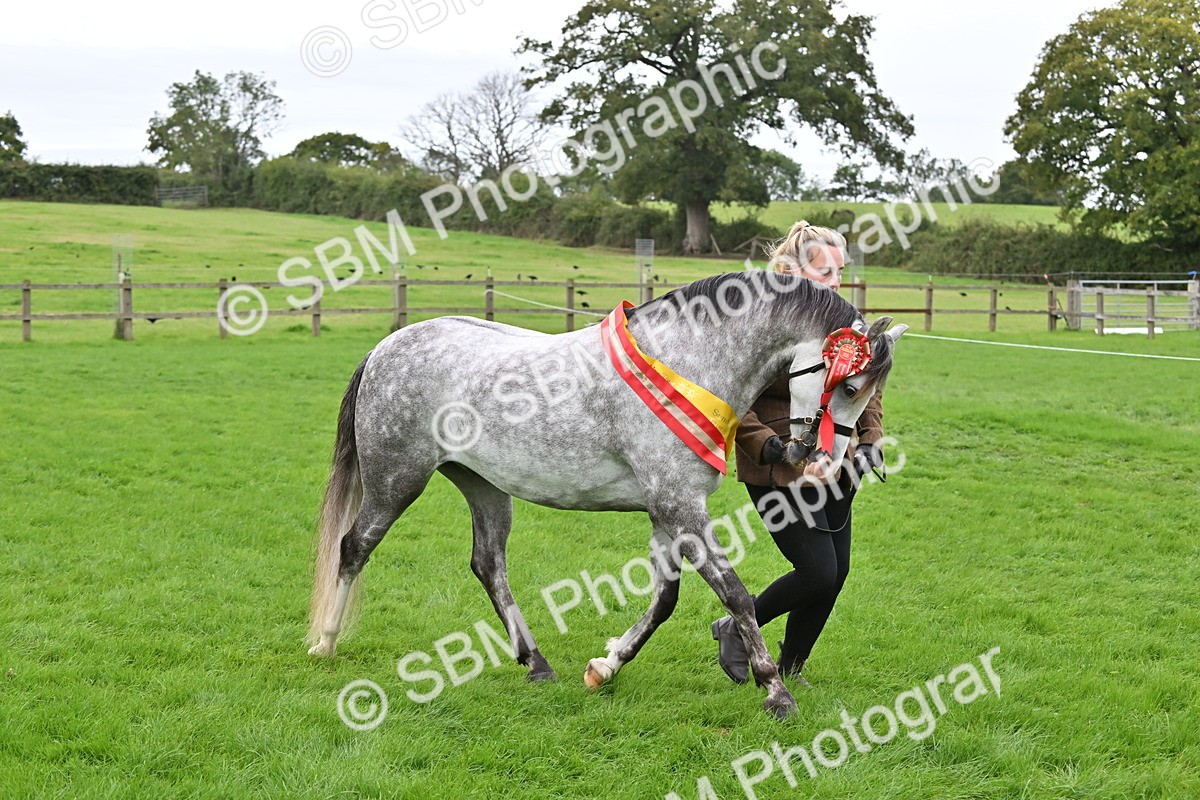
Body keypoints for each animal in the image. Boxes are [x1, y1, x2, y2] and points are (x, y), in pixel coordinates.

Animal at [307, 270, 907, 718]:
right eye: (849, 383)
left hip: (484, 486)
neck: (690, 363)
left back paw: (537, 664)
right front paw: (775, 691)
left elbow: (665, 600)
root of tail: (386, 348)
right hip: (397, 480)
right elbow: (734, 594)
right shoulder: (680, 507)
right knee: (353, 548)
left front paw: (606, 666)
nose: (827, 462)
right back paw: (326, 641)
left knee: (488, 564)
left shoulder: (667, 511)